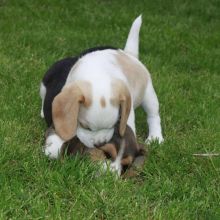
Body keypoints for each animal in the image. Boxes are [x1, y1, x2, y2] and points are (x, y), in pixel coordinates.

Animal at [40, 15, 163, 174]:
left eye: (115, 123)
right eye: (85, 127)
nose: (100, 144)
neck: (97, 75)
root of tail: (128, 54)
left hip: (148, 94)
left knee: (153, 116)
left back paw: (155, 137)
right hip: (42, 86)